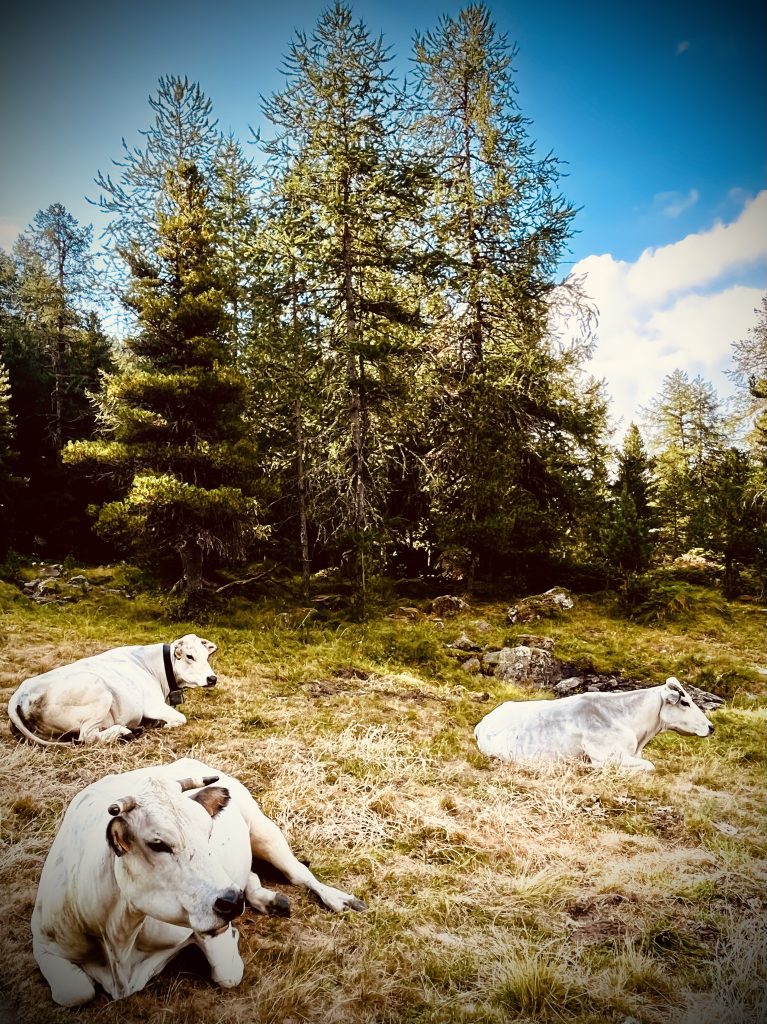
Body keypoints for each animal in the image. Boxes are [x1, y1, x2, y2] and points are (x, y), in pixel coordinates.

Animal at [8, 635, 219, 746]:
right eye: (190, 656)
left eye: (206, 656)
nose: (212, 678)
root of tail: (22, 690)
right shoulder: (152, 704)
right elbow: (181, 718)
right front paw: (165, 724)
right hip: (99, 692)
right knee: (88, 737)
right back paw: (124, 731)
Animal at [32, 757, 366, 1005]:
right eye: (157, 843)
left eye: (209, 831)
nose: (232, 902)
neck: (118, 939)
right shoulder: (43, 942)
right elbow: (76, 993)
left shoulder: (211, 929)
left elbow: (228, 974)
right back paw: (266, 899)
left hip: (263, 828)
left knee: (298, 873)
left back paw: (336, 898)